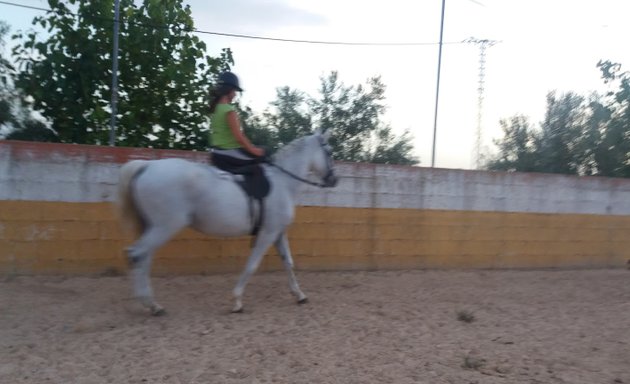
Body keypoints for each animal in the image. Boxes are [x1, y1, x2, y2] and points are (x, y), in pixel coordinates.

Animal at [116, 131, 338, 316]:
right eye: (329, 151)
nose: (334, 180)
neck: (282, 182)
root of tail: (146, 166)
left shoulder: (278, 233)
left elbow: (288, 262)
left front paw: (299, 295)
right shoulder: (267, 233)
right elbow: (252, 265)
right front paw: (237, 301)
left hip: (152, 226)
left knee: (143, 257)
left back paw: (151, 303)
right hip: (165, 226)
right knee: (137, 254)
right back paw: (152, 305)